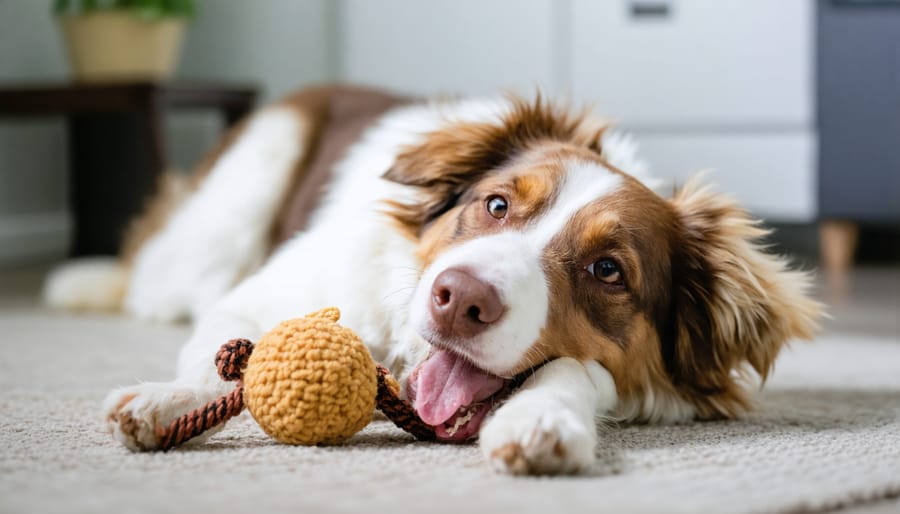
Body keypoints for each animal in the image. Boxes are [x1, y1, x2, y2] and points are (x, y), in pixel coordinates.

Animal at [47, 84, 824, 472]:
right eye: (497, 204)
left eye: (608, 270)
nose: (459, 301)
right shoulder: (257, 296)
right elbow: (229, 356)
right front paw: (164, 400)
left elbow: (572, 373)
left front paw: (543, 418)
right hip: (229, 213)